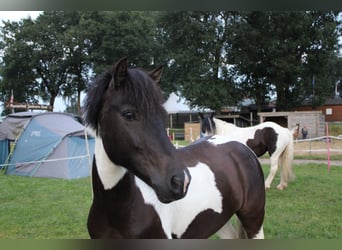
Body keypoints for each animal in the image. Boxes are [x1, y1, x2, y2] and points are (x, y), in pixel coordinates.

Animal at [84, 57, 266, 239]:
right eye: (128, 114)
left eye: (163, 115)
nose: (181, 182)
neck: (117, 211)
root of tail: (241, 147)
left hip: (254, 222)